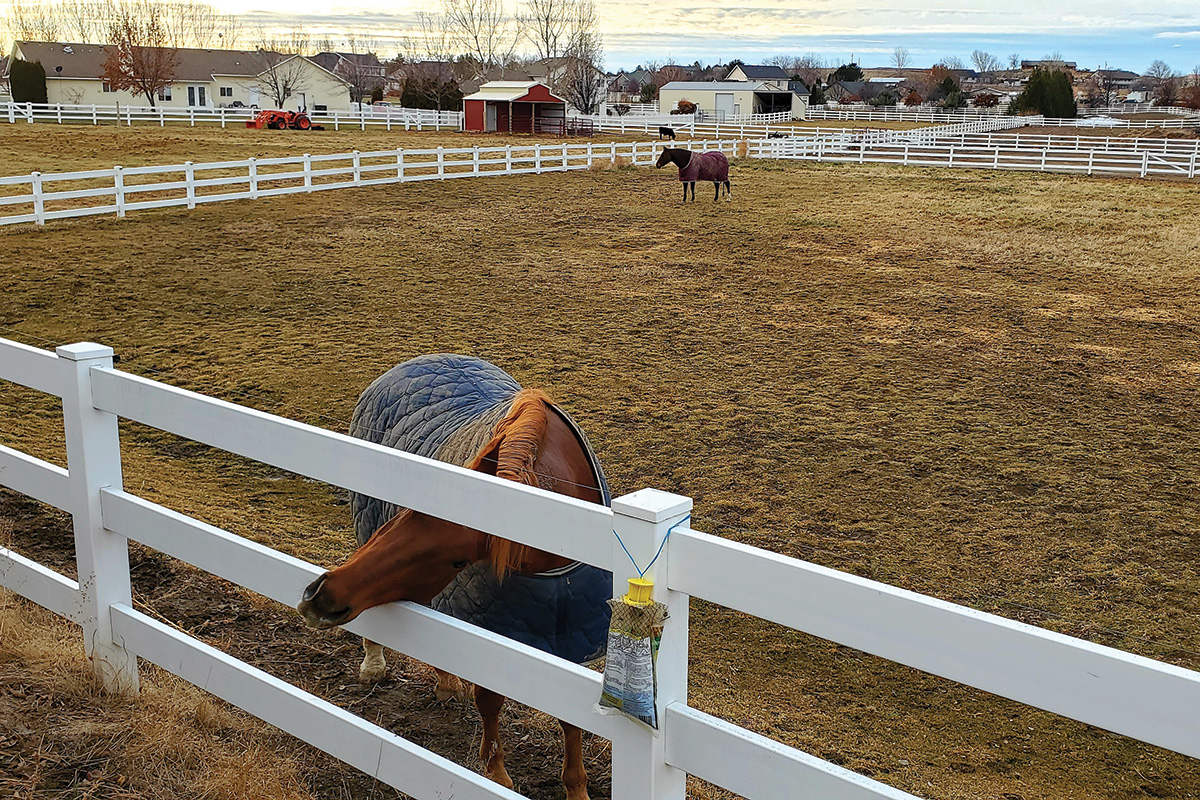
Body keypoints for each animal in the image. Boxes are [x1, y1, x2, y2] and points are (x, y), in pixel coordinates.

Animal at [296, 369, 604, 800]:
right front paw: (496, 776)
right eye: (403, 515)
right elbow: (489, 700)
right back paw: (378, 665)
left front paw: (576, 787)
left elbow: (571, 717)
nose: (319, 596)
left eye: (456, 560)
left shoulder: (571, 638)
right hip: (366, 519)